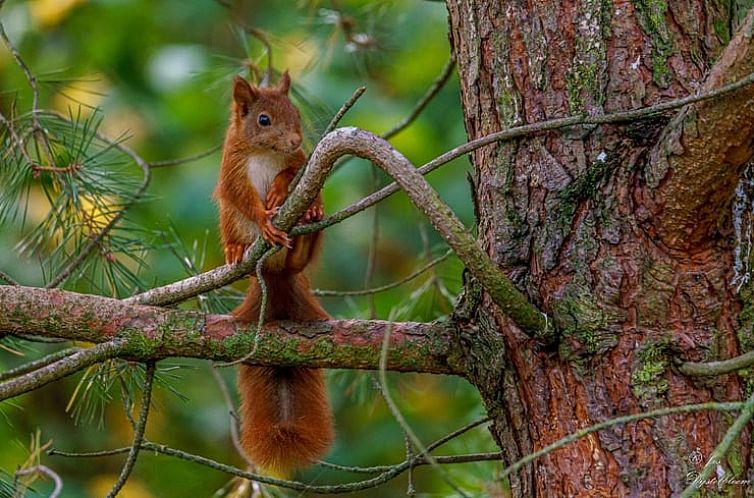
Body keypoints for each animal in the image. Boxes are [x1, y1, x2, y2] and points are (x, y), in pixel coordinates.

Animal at [210, 72, 330, 472]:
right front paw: (264, 217)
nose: (294, 139)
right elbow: (242, 196)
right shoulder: (231, 169)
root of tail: (275, 277)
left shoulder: (300, 161)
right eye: (263, 120)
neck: (265, 153)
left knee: (302, 252)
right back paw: (236, 250)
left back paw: (310, 219)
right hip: (229, 221)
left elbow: (293, 170)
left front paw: (278, 191)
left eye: (296, 113)